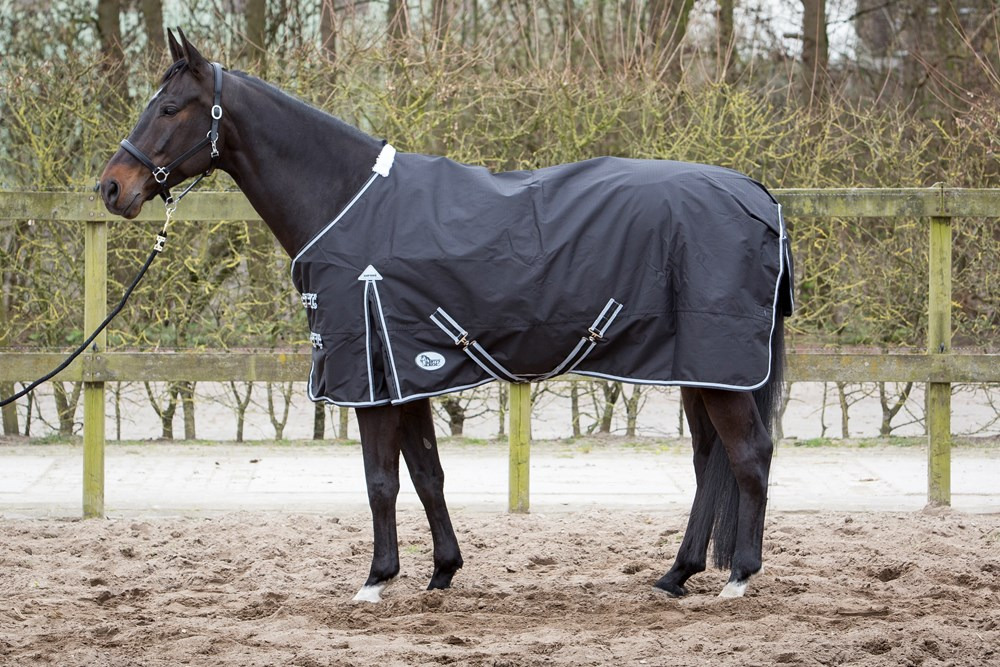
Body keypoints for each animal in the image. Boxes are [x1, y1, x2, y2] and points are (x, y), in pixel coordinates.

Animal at [100, 30, 792, 602]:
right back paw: (676, 575)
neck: (348, 203)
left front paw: (376, 580)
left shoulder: (370, 378)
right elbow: (427, 472)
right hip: (698, 370)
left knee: (750, 454)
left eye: (169, 108)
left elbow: (381, 479)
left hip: (720, 369)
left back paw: (739, 577)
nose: (111, 187)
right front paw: (441, 572)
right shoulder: (405, 371)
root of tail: (758, 196)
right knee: (708, 462)